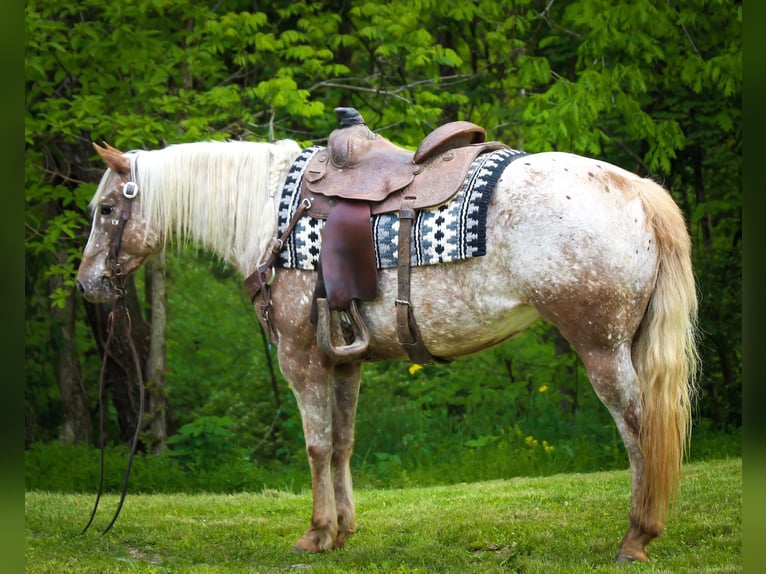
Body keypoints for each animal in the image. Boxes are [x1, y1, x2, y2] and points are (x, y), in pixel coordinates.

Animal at [76, 135, 698, 564]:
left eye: (106, 210)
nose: (87, 284)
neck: (271, 214)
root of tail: (639, 190)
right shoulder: (344, 360)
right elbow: (343, 443)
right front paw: (344, 530)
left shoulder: (300, 358)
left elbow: (316, 446)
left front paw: (315, 534)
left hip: (601, 346)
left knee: (639, 428)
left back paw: (636, 537)